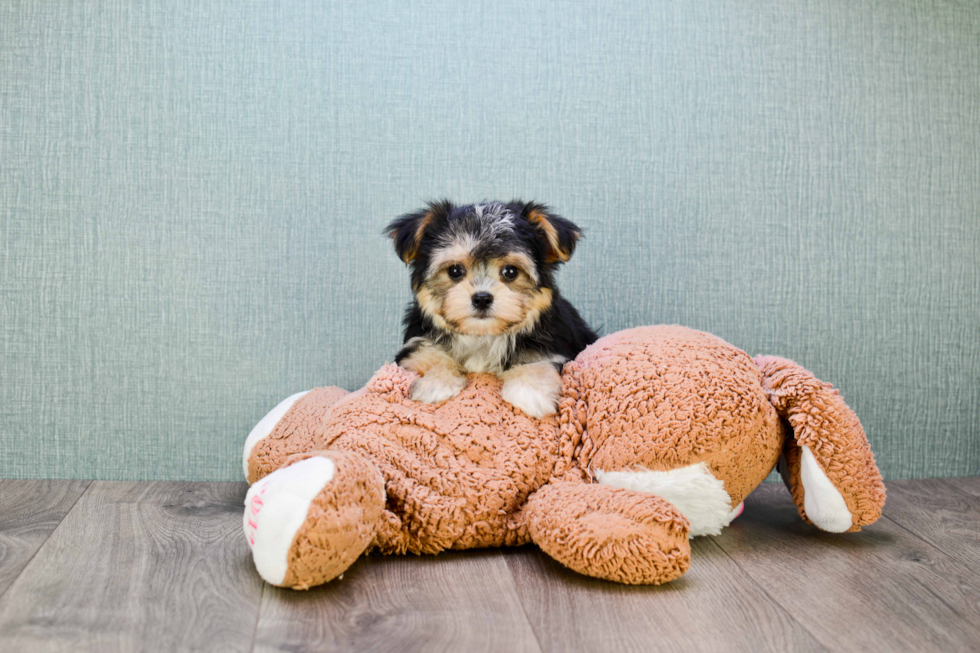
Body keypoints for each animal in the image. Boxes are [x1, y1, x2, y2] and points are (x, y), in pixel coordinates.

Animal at [384, 197, 596, 418]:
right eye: (454, 271)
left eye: (511, 271)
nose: (482, 298)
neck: (482, 335)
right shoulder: (413, 349)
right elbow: (427, 356)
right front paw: (435, 383)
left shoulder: (554, 347)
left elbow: (537, 361)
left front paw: (530, 391)